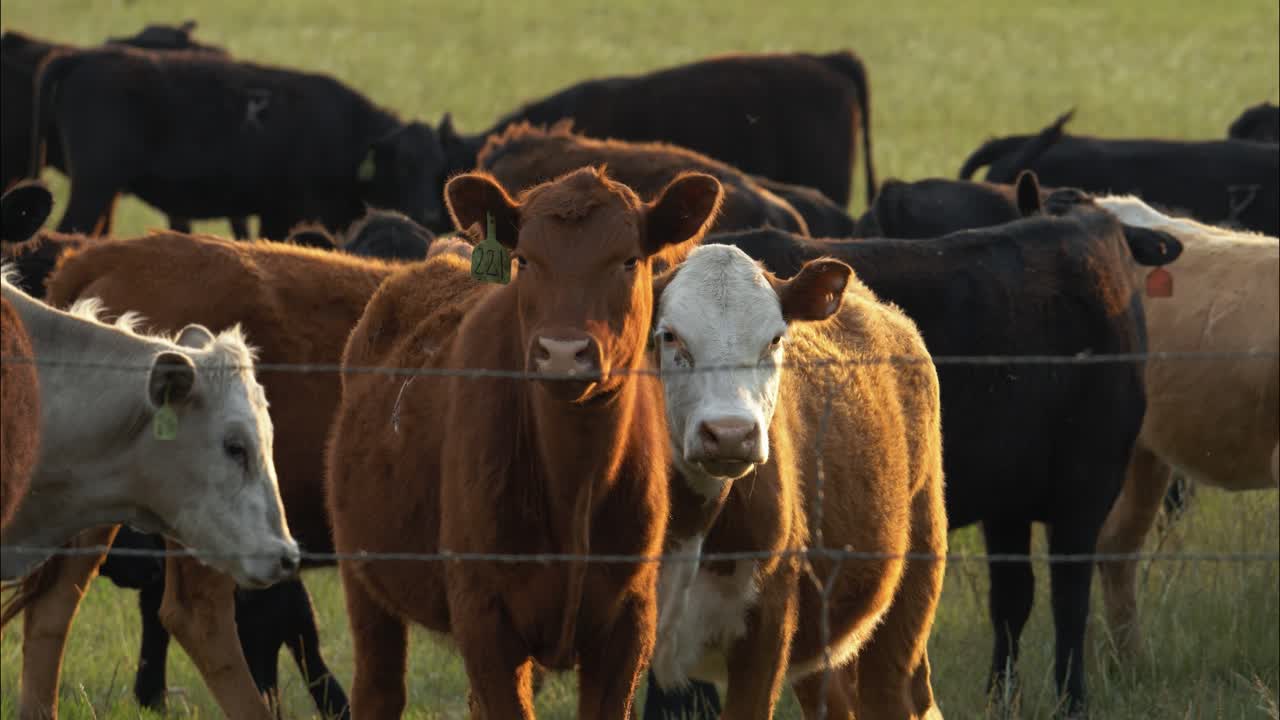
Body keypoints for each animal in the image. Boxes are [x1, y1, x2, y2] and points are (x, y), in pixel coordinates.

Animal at [28, 43, 447, 239]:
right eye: (403, 165)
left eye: (439, 168)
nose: (430, 214)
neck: (348, 132)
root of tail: (84, 56)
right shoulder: (294, 211)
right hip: (93, 185)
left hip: (106, 190)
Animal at [325, 166, 723, 718]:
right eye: (525, 260)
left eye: (628, 259)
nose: (563, 352)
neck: (574, 484)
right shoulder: (484, 618)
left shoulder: (629, 623)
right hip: (363, 576)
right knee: (379, 686)